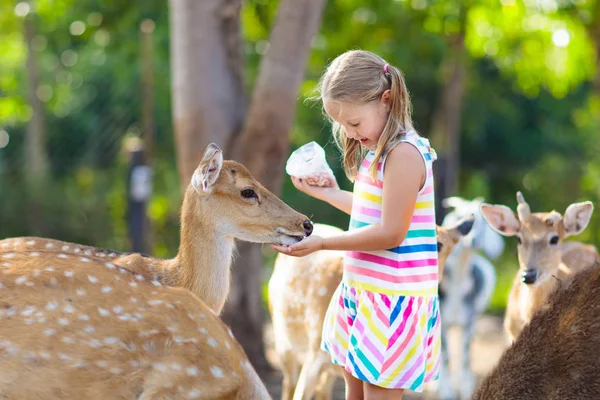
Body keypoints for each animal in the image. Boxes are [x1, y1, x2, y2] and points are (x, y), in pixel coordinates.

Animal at [434, 197, 504, 400]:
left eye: (483, 223)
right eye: (457, 215)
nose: (474, 240)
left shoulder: (469, 323)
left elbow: (465, 358)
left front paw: (465, 390)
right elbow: (446, 356)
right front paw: (446, 391)